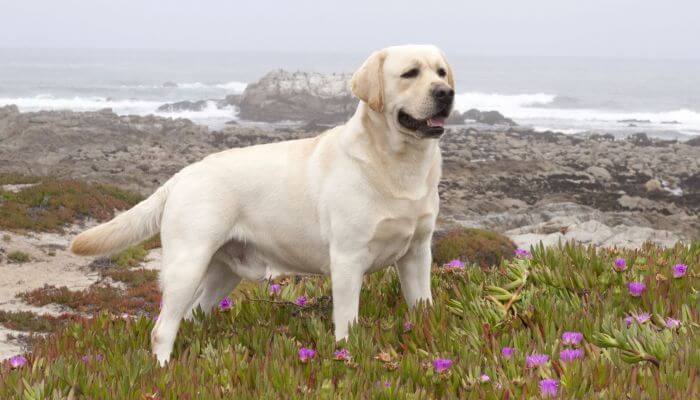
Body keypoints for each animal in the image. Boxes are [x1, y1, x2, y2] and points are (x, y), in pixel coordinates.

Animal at [71, 44, 454, 366]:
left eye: (441, 71)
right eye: (410, 73)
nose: (446, 93)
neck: (398, 164)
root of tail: (180, 176)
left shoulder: (417, 254)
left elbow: (423, 305)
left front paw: (428, 336)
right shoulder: (348, 259)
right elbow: (347, 322)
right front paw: (346, 353)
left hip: (222, 273)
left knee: (193, 315)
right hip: (187, 264)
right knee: (162, 327)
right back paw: (164, 371)